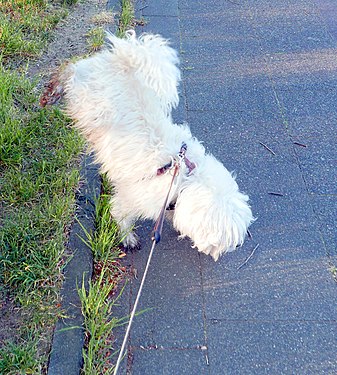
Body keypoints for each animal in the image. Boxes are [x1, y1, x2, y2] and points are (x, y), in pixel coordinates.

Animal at [48, 30, 252, 262]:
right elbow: (121, 215)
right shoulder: (132, 197)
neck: (183, 178)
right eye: (227, 236)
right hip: (84, 98)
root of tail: (124, 58)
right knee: (70, 69)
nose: (237, 246)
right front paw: (127, 238)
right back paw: (54, 89)